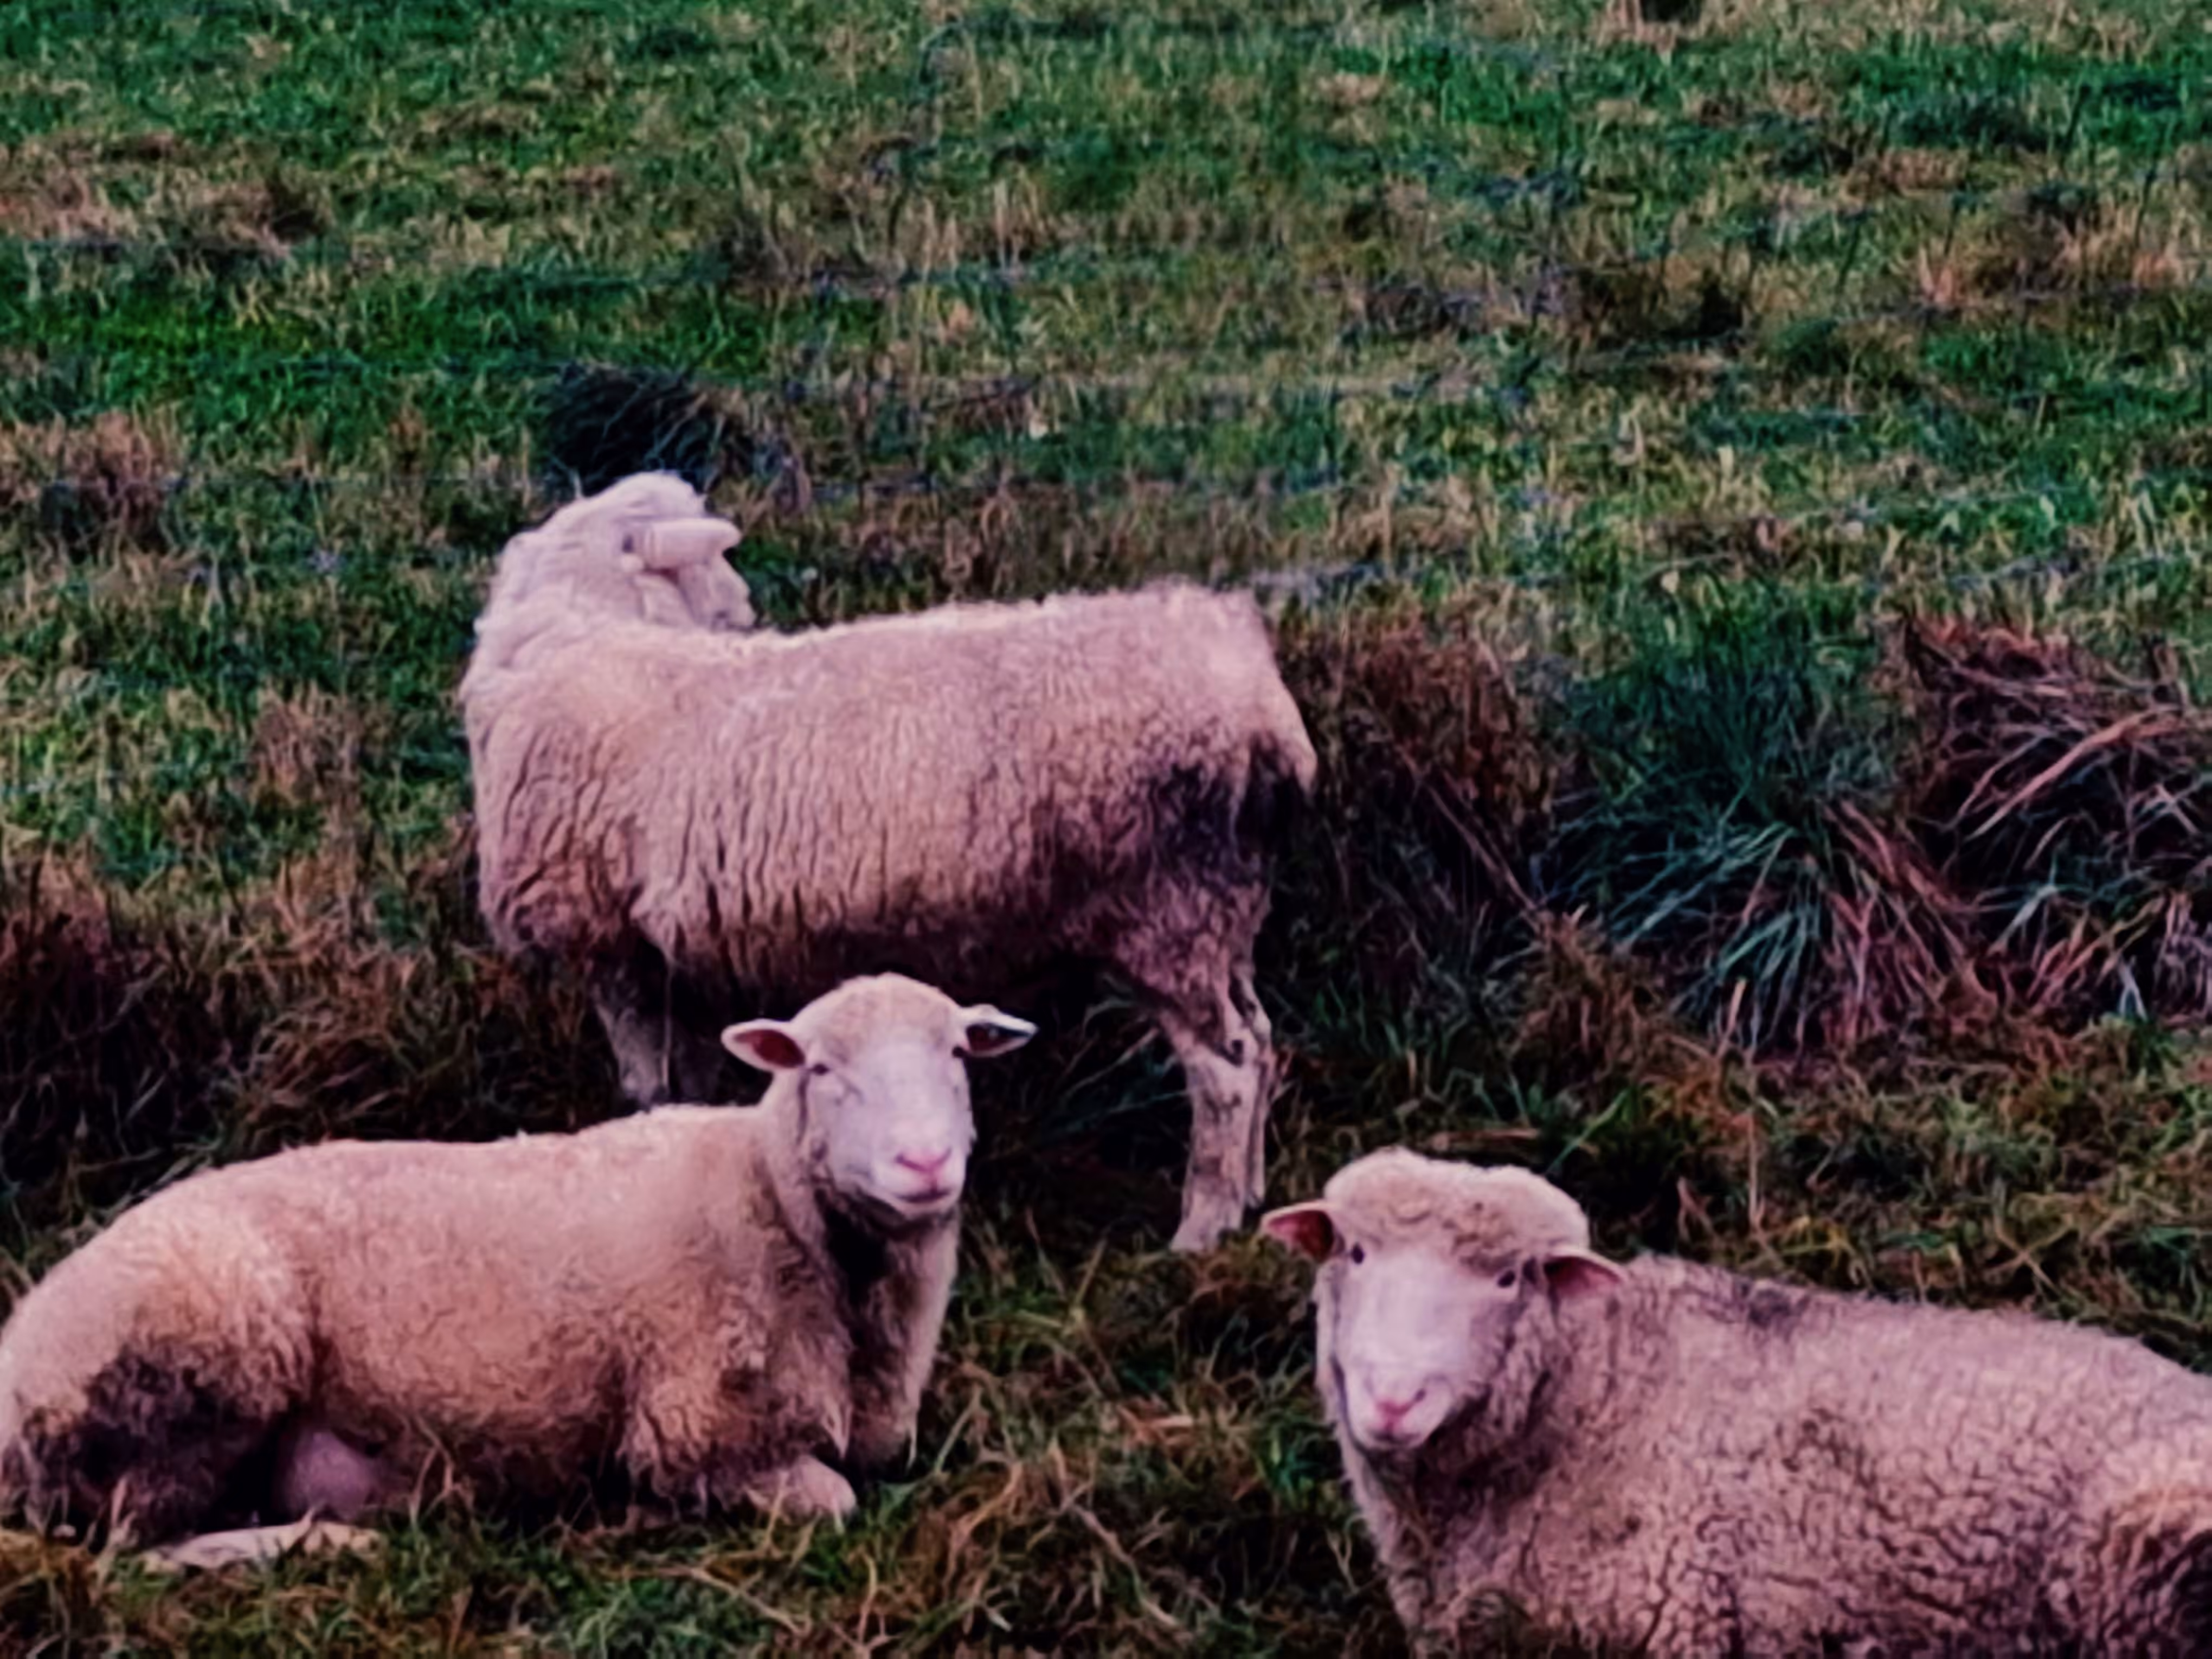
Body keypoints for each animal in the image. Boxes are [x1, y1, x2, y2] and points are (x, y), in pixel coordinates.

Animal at [0, 974, 1034, 1558]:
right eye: (820, 1068)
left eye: (957, 1052)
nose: (924, 1164)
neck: (776, 1203)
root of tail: (21, 1344)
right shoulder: (694, 1432)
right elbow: (834, 1500)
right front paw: (643, 1515)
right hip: (203, 1361)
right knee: (132, 1550)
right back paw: (324, 1545)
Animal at [460, 484, 1318, 1253]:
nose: (744, 618)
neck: (583, 631)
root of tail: (1253, 693)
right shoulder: (671, 964)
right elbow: (683, 1091)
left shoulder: (613, 949)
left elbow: (647, 1089)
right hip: (1221, 910)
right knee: (1259, 1037)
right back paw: (1249, 1195)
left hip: (1164, 910)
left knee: (1227, 1070)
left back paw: (1202, 1229)